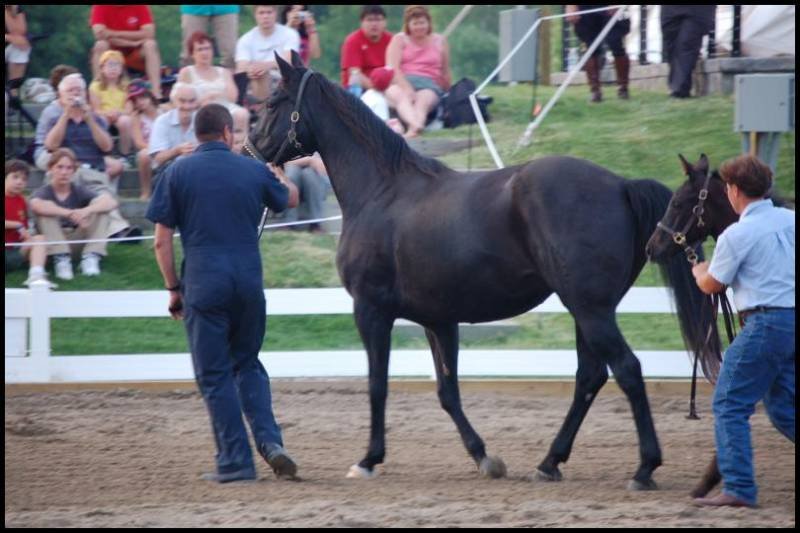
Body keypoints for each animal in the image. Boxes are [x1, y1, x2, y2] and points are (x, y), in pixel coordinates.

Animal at [245, 52, 720, 490]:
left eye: (271, 102)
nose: (247, 150)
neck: (383, 191)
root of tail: (620, 185)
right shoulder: (439, 320)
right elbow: (448, 392)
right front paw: (484, 457)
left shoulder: (371, 311)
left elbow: (378, 386)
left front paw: (368, 460)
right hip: (588, 310)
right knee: (590, 376)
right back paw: (550, 462)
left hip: (590, 309)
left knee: (626, 370)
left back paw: (644, 468)